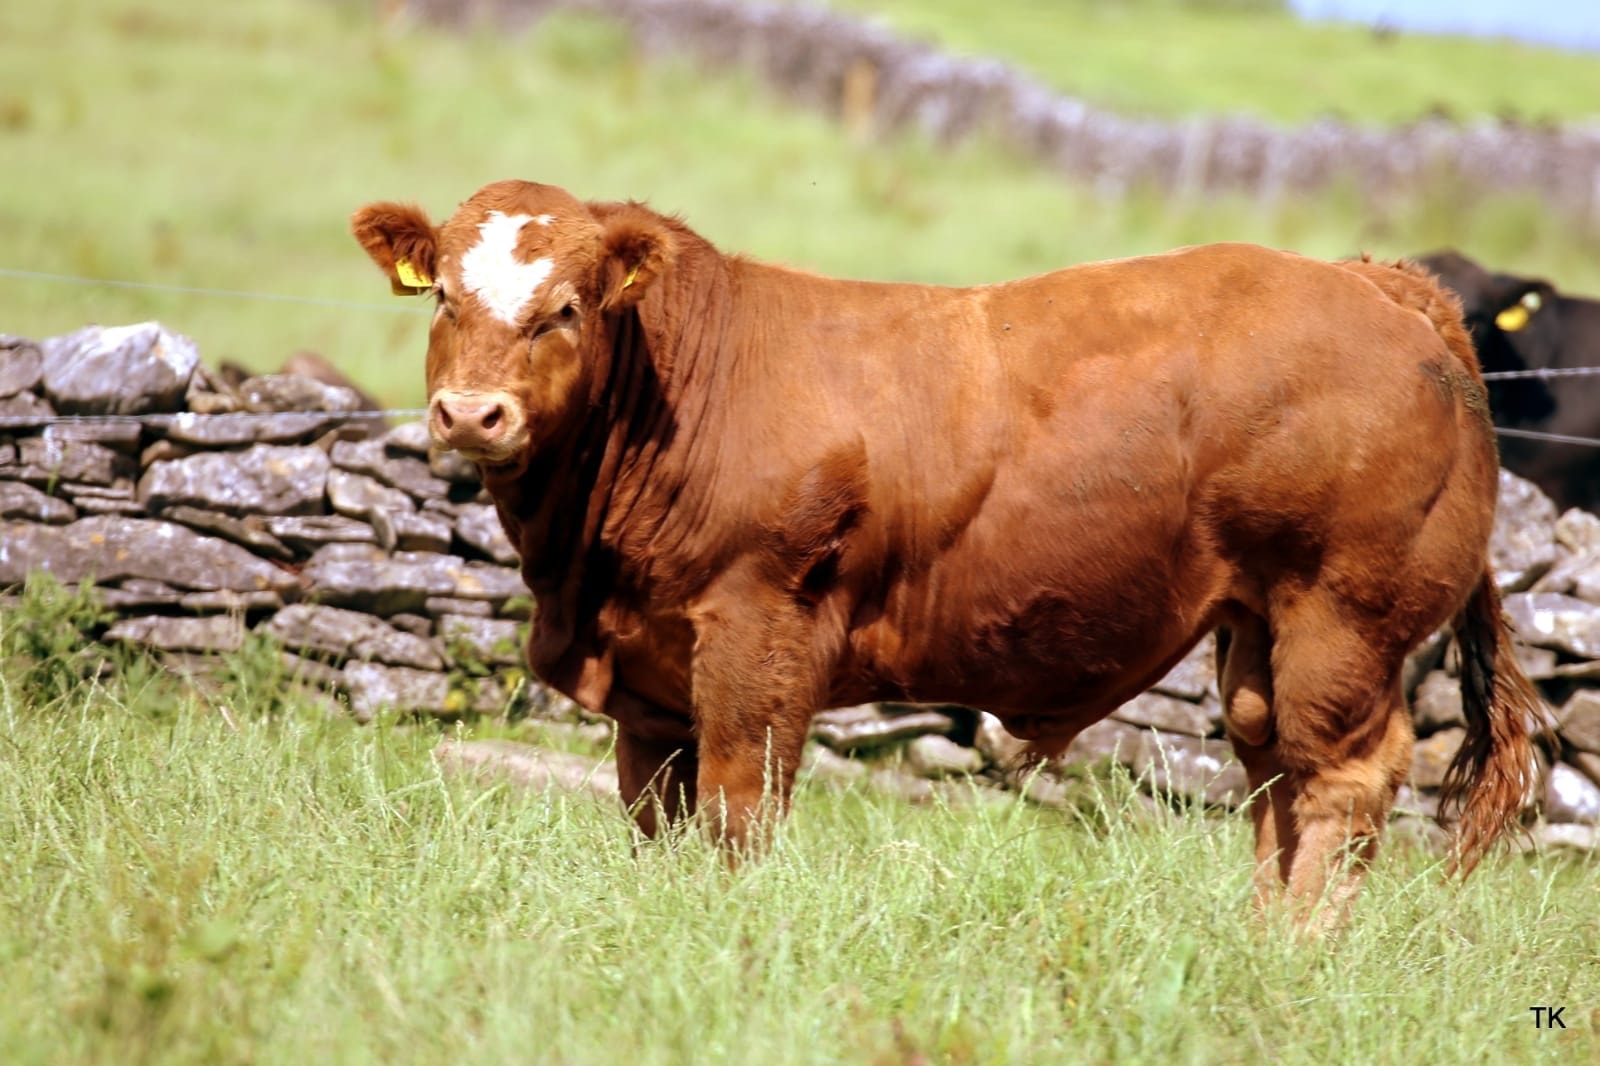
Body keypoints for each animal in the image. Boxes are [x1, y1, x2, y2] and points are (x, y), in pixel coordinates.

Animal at [352, 180, 1540, 924]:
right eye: (444, 295)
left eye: (564, 308)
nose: (471, 414)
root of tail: (1377, 281)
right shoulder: (647, 674)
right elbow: (654, 817)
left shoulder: (756, 638)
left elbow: (738, 811)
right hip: (1258, 627)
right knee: (1275, 774)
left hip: (1345, 619)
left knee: (1343, 780)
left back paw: (1299, 952)